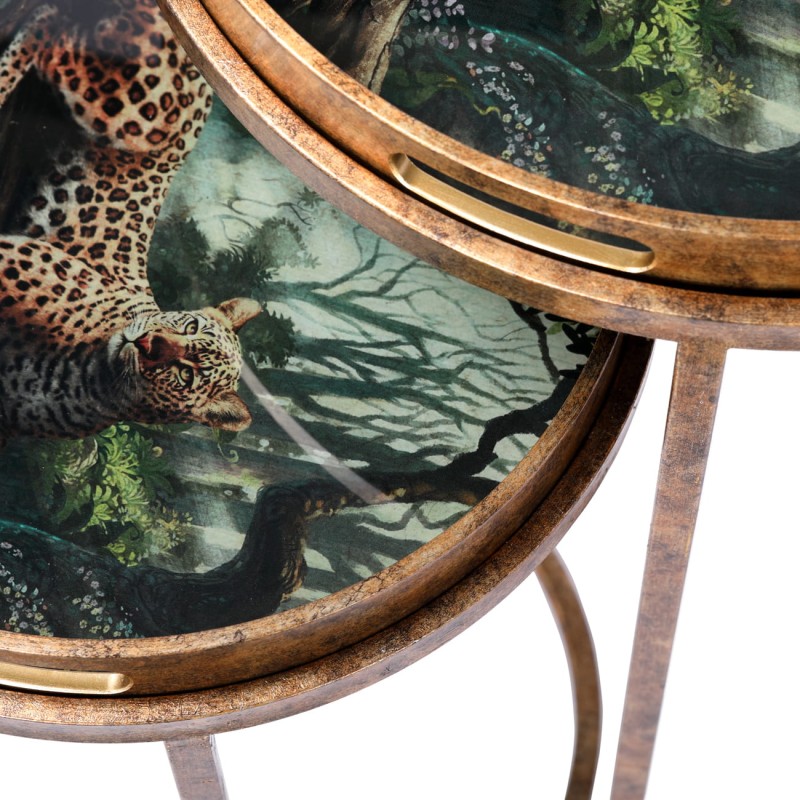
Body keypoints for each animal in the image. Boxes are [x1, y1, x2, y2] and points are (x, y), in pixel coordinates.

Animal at [0, 0, 261, 450]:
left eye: (185, 374)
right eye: (189, 324)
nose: (148, 342)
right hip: (130, 111)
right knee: (54, 31)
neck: (97, 377)